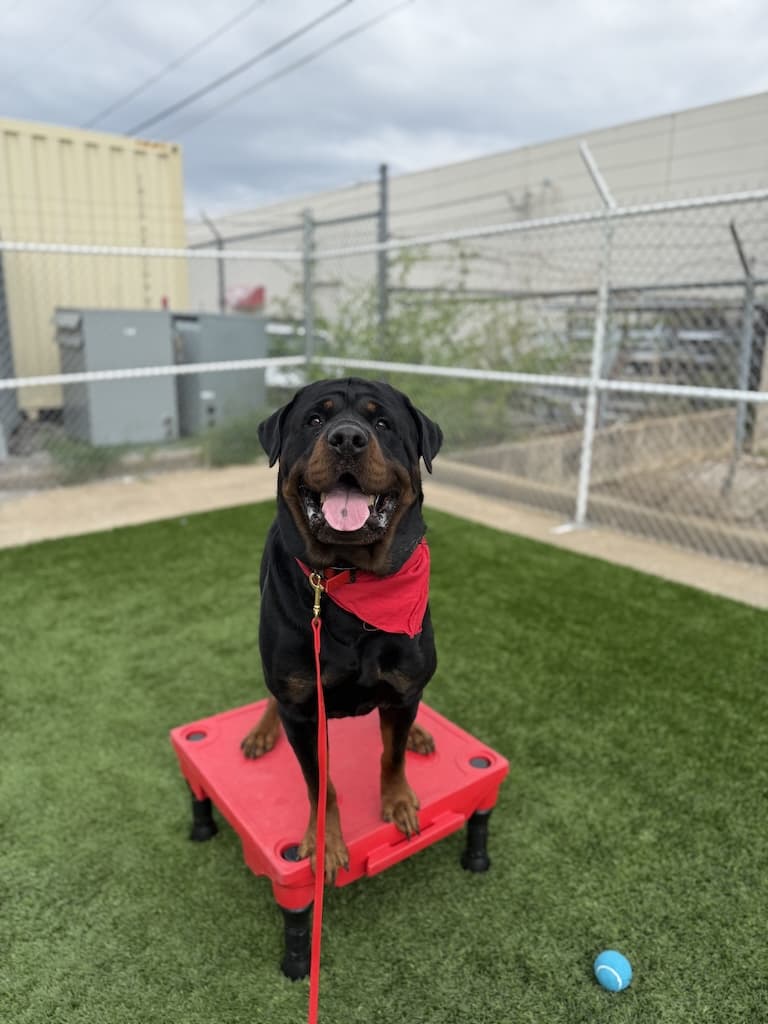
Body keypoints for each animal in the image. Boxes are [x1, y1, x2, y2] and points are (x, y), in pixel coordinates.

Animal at [241, 377, 443, 882]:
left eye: (383, 422)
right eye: (315, 419)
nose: (347, 438)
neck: (349, 576)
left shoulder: (404, 686)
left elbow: (391, 754)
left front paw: (399, 801)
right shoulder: (303, 709)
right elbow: (320, 784)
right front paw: (325, 843)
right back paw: (261, 732)